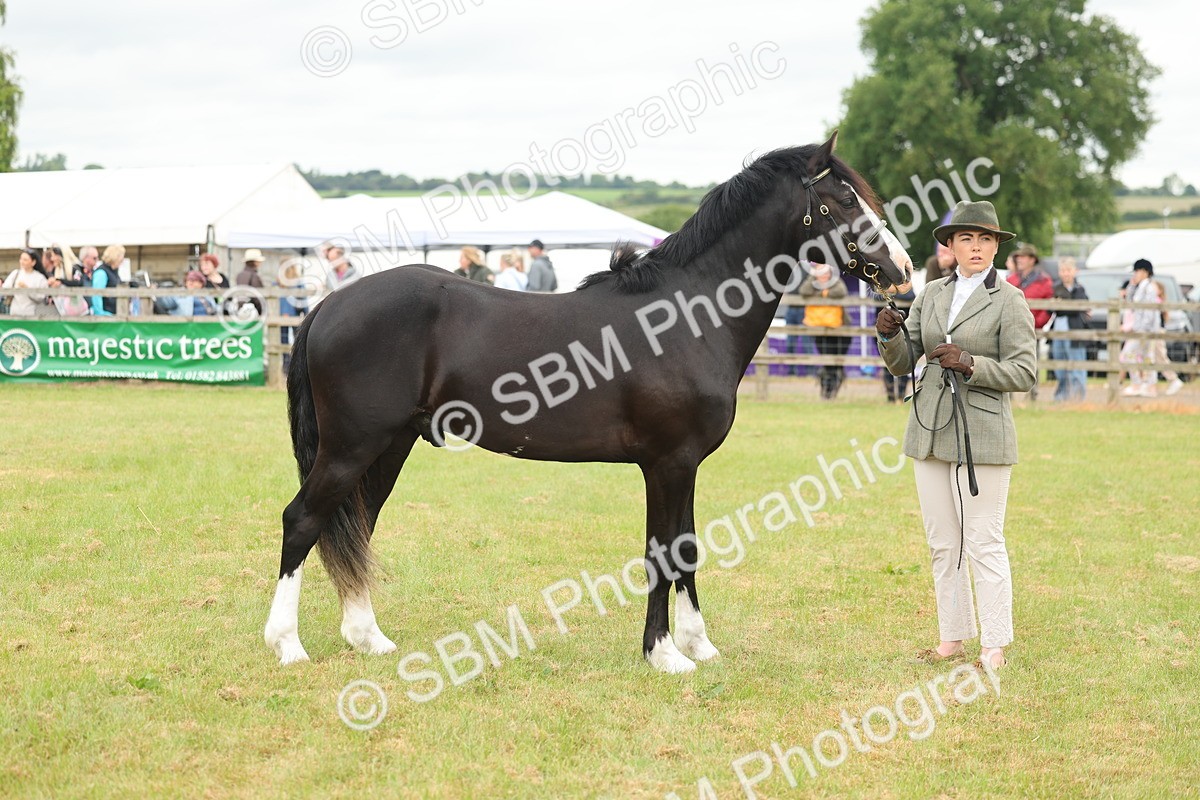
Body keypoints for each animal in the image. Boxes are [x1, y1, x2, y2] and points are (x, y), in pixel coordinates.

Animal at [264, 132, 914, 673]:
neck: (685, 313)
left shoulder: (686, 465)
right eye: (844, 201)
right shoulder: (666, 463)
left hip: (387, 447)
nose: (904, 272)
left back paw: (368, 637)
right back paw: (288, 645)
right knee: (303, 521)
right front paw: (664, 654)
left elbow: (688, 548)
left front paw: (700, 645)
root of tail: (330, 303)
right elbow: (663, 552)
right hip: (352, 446)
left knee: (356, 525)